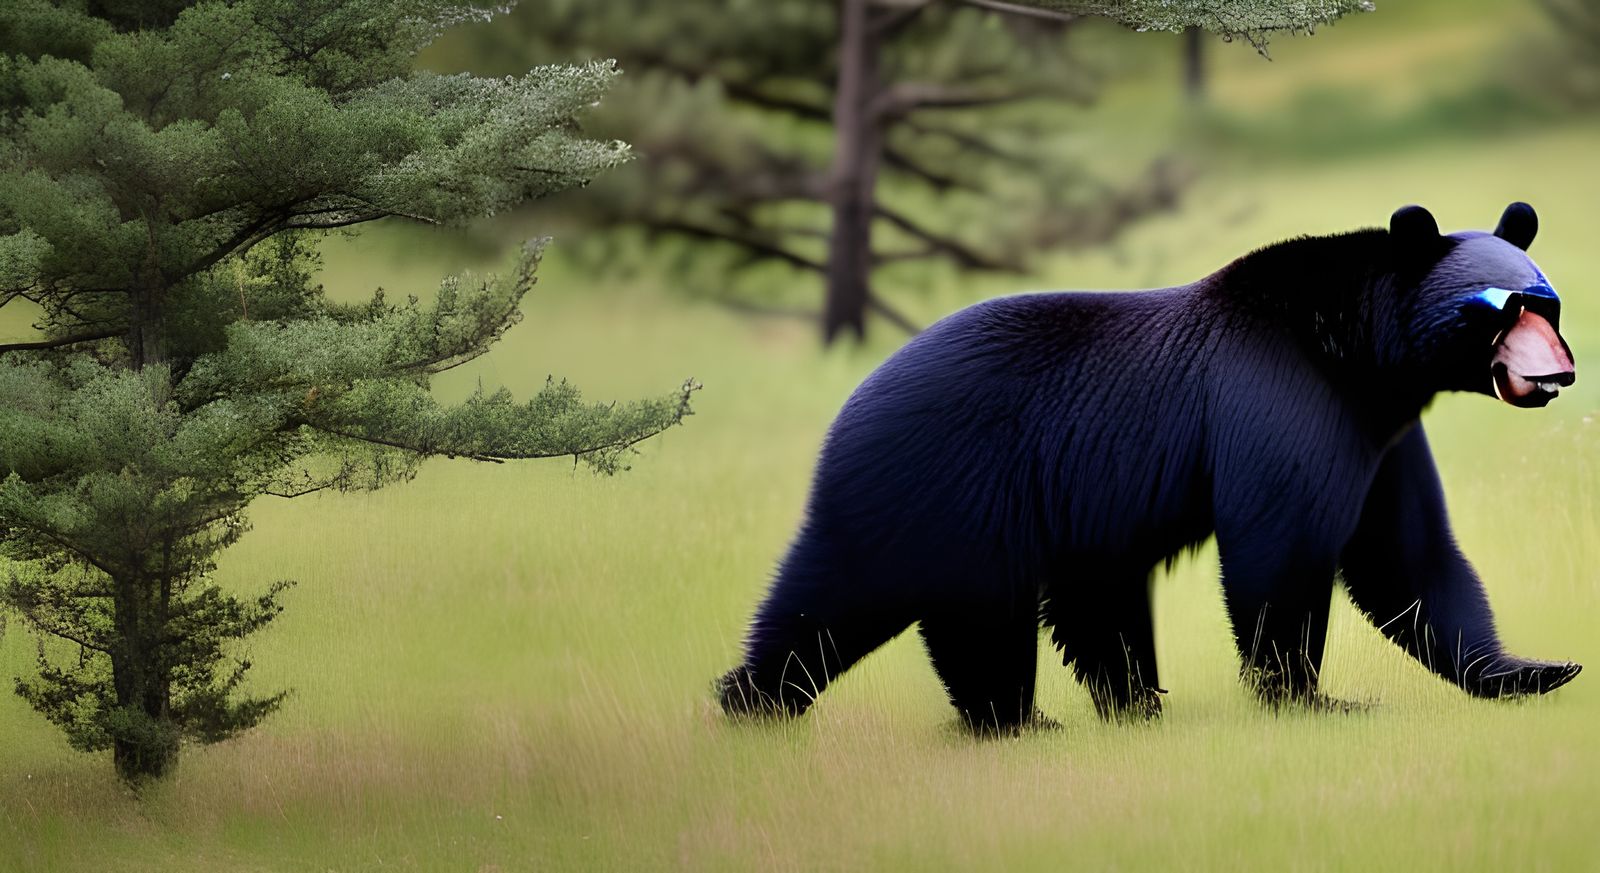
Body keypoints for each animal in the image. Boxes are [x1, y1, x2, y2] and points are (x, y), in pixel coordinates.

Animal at [717, 202, 1582, 731]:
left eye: (1548, 302)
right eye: (1502, 306)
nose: (1559, 372)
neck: (1358, 352)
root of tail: (847, 408)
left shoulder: (1381, 432)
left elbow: (1409, 553)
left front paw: (1531, 668)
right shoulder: (1280, 397)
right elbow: (1283, 549)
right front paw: (1306, 695)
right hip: (950, 483)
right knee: (940, 607)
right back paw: (1009, 718)